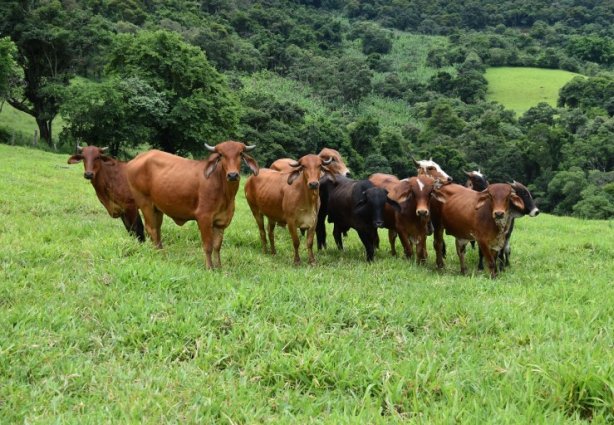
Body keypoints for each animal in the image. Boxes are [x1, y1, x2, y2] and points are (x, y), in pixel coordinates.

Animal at [125, 142, 260, 268]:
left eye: (240, 154)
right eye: (221, 155)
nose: (232, 175)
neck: (225, 193)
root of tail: (137, 158)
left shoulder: (221, 222)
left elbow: (217, 246)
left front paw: (219, 267)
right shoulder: (204, 218)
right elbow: (208, 245)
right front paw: (209, 267)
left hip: (157, 208)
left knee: (157, 230)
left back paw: (161, 253)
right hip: (145, 203)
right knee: (151, 229)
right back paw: (159, 255)